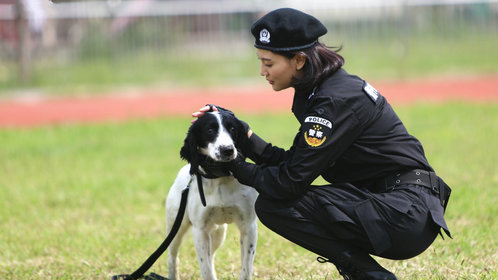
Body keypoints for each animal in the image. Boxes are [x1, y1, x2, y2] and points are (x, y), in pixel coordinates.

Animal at [166, 109, 258, 280]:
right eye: (210, 130)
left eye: (232, 128)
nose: (227, 149)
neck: (220, 178)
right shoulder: (200, 230)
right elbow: (206, 269)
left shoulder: (249, 227)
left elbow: (246, 269)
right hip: (176, 227)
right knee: (172, 257)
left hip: (218, 232)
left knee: (212, 256)